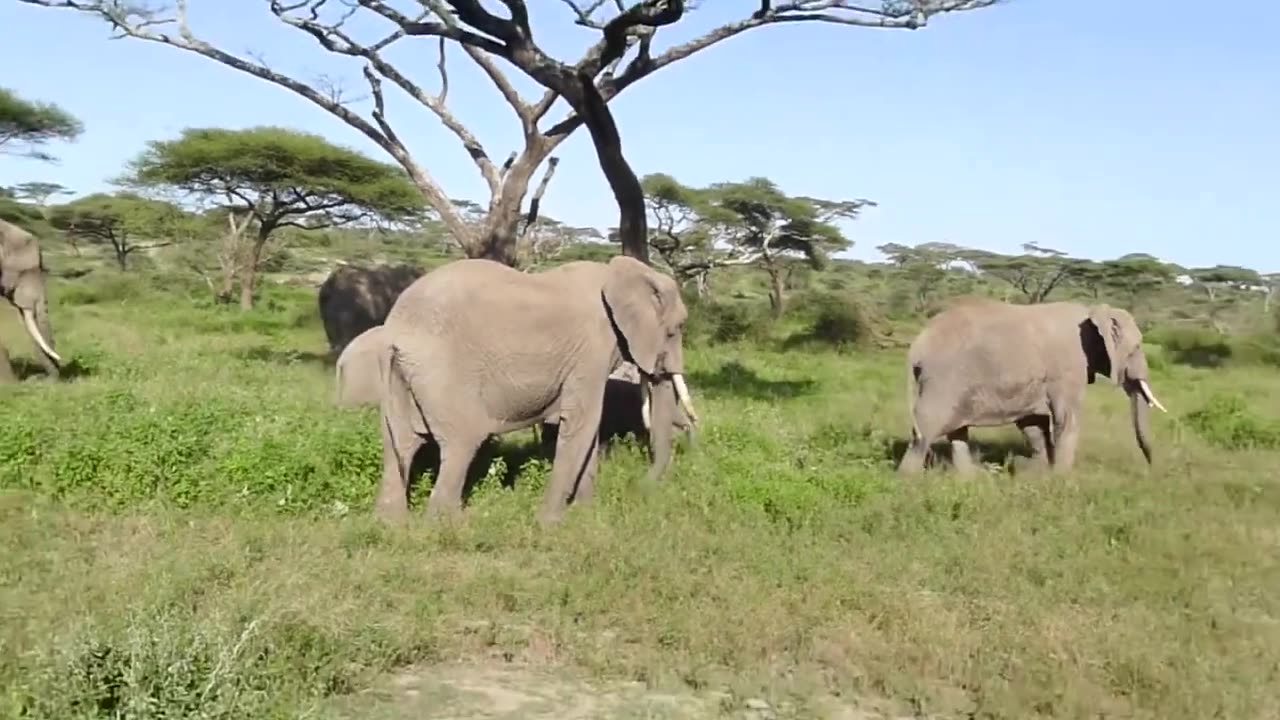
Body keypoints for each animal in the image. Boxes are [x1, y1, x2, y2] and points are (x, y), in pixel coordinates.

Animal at [896, 294, 1167, 474]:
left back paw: (969, 481)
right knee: (926, 430)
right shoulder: (1070, 366)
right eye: (1137, 347)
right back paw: (907, 484)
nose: (1152, 469)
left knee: (956, 432)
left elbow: (1034, 422)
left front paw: (1038, 475)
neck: (1092, 312)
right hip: (943, 379)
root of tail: (917, 344)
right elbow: (1066, 418)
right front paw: (1061, 480)